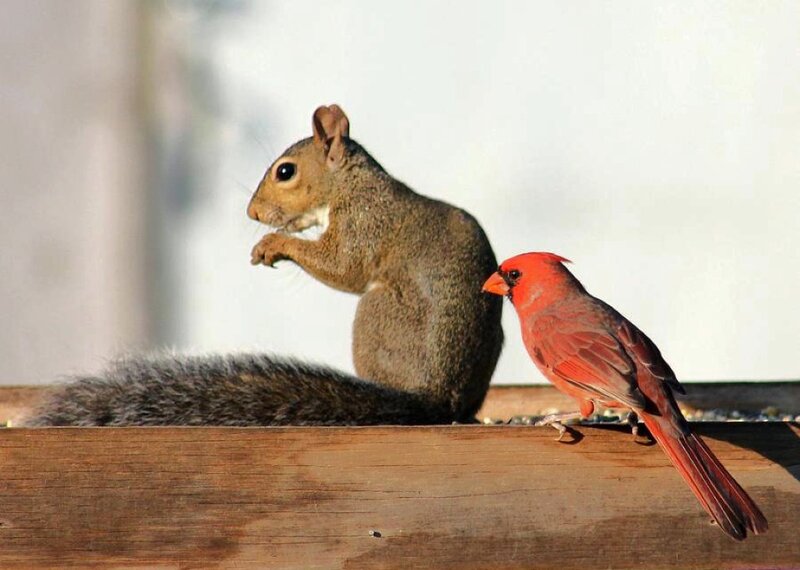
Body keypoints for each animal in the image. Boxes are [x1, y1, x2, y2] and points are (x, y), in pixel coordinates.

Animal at [23, 104, 504, 427]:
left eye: (285, 172)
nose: (252, 214)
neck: (352, 185)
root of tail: (436, 400)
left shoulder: (364, 223)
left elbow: (344, 267)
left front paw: (274, 244)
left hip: (374, 315)